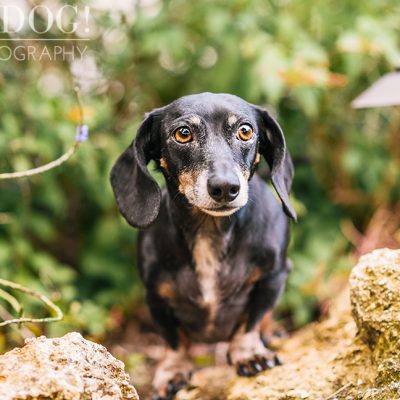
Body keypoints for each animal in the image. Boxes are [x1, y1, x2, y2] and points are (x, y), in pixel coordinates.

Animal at [111, 93, 296, 396]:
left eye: (246, 130)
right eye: (183, 133)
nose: (225, 188)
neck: (211, 232)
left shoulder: (274, 276)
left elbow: (252, 320)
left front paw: (249, 354)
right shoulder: (155, 295)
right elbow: (174, 340)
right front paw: (173, 371)